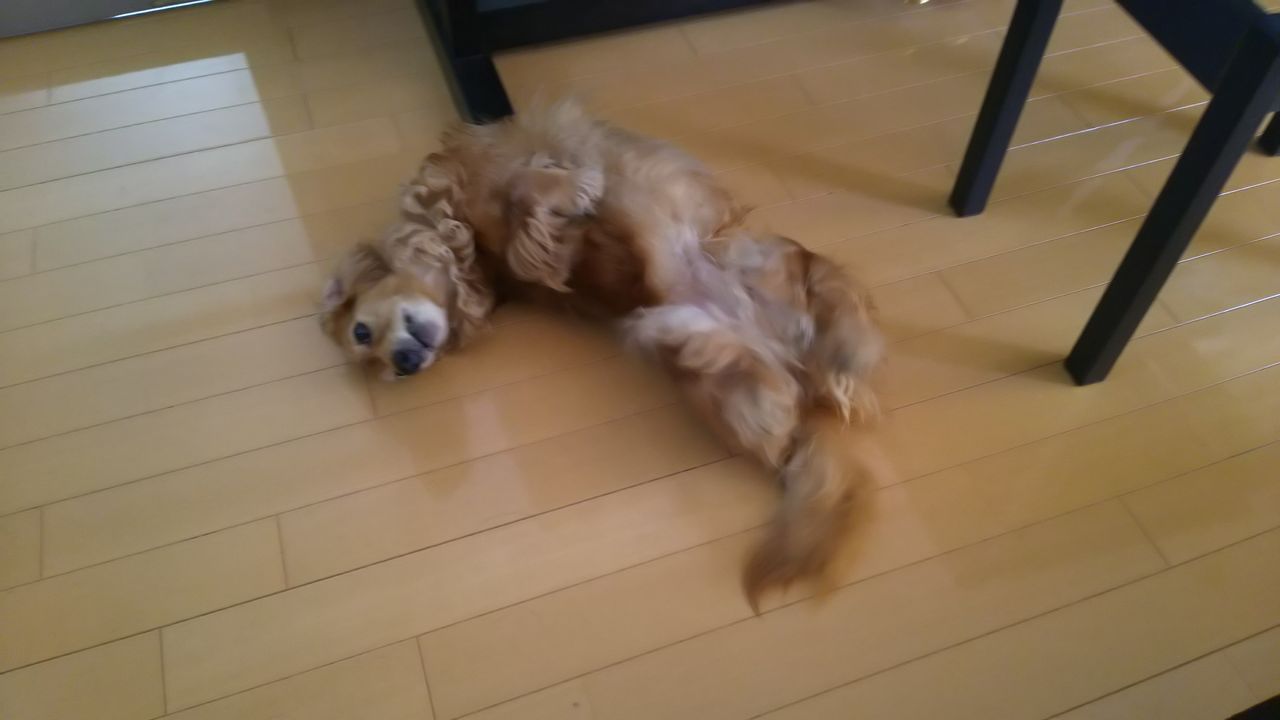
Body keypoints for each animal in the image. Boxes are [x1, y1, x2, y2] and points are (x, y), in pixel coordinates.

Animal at [321, 101, 888, 609]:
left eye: (363, 331)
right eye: (370, 352)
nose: (403, 365)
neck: (469, 254)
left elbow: (521, 185)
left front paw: (570, 181)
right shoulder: (527, 250)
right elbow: (527, 214)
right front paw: (577, 187)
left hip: (755, 254)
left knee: (830, 307)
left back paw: (842, 356)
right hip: (674, 334)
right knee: (773, 395)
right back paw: (783, 395)